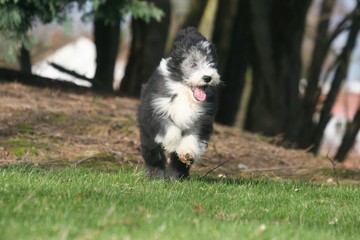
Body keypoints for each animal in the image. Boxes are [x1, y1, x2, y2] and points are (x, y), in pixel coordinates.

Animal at [138, 27, 221, 179]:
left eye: (211, 63)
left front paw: (186, 152)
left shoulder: (202, 117)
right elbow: (168, 128)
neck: (184, 91)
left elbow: (194, 136)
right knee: (153, 154)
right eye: (193, 64)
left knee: (177, 163)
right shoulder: (155, 109)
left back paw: (177, 176)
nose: (207, 77)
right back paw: (156, 175)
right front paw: (173, 143)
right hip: (147, 136)